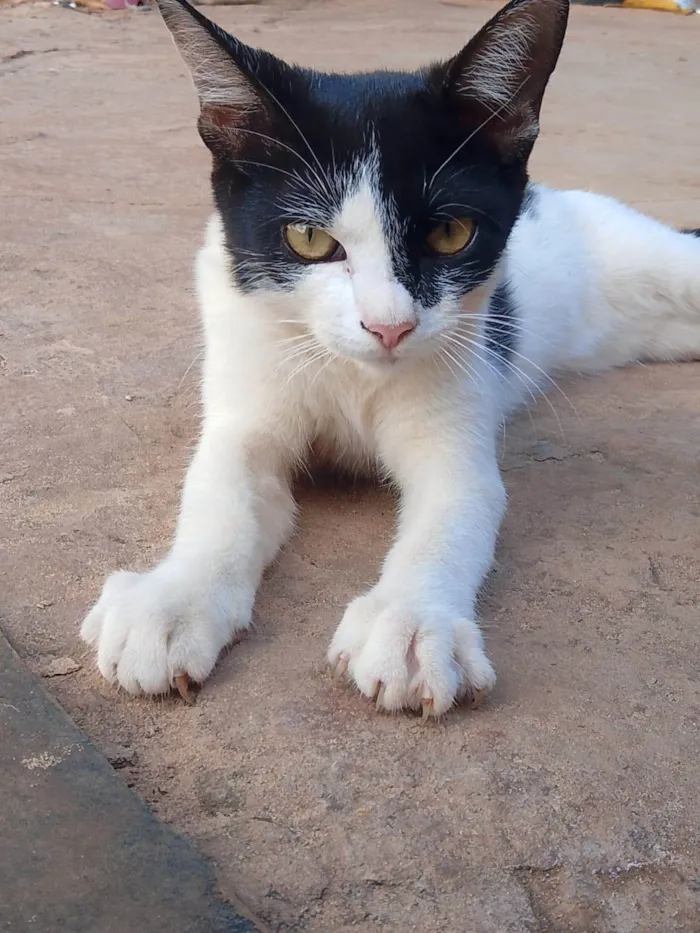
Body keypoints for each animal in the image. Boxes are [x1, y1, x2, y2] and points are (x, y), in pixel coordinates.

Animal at [78, 0, 700, 716]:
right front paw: (172, 602)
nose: (389, 327)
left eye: (451, 233)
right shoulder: (246, 384)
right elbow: (220, 490)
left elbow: (456, 510)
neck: (354, 375)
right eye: (309, 238)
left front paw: (411, 623)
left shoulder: (461, 399)